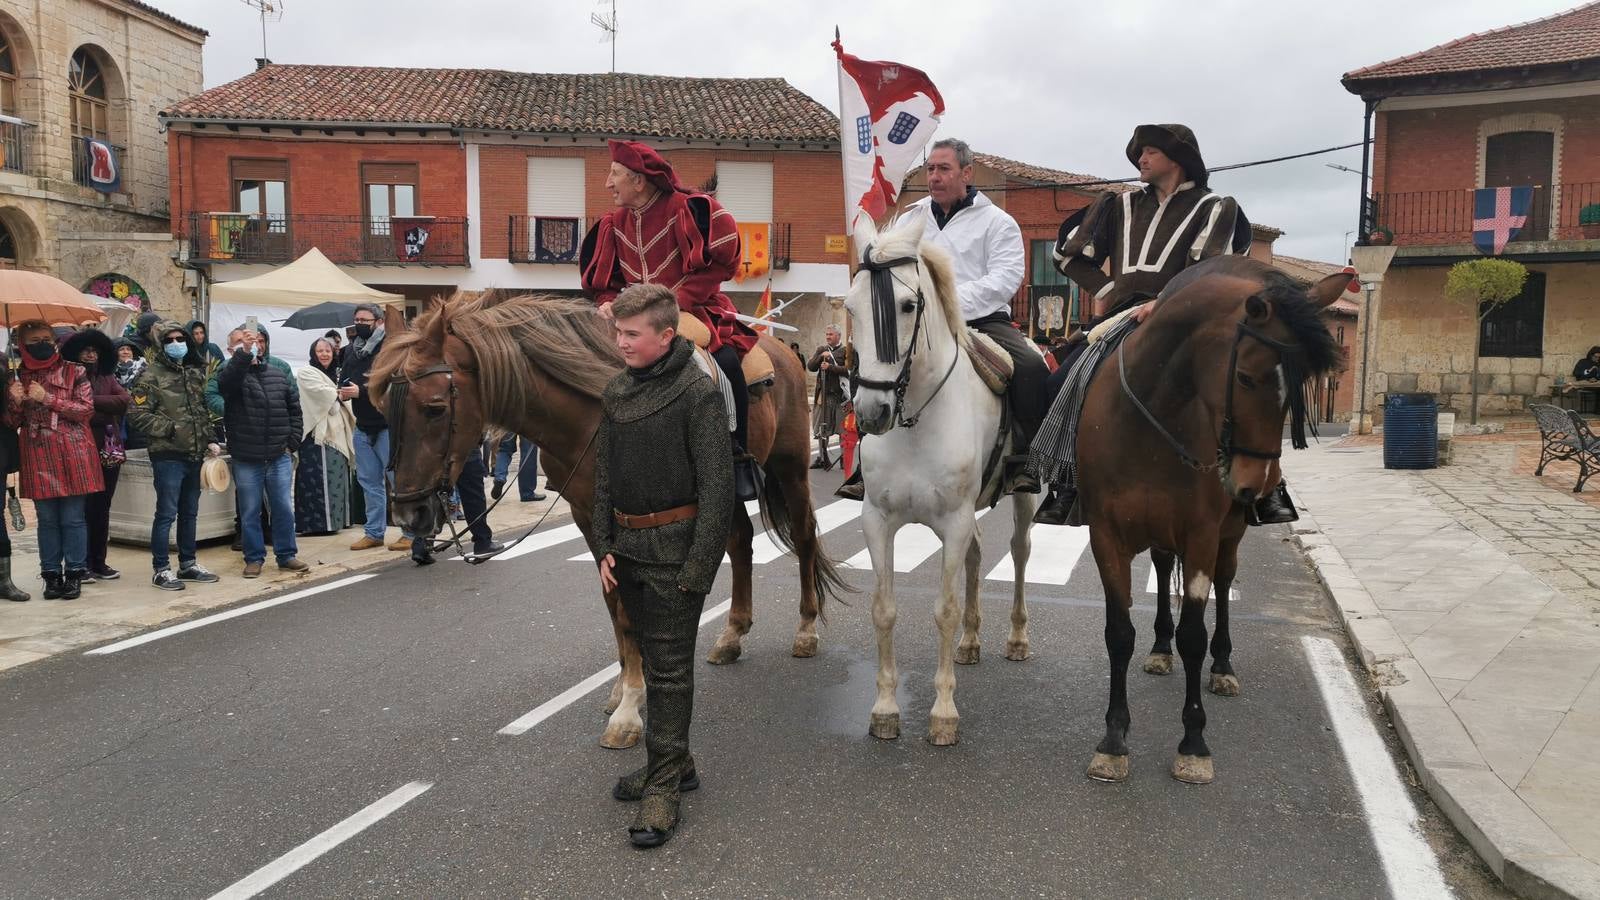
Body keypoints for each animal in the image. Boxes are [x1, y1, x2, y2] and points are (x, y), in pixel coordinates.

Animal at [369, 291, 851, 746]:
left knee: (804, 538)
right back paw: (732, 634)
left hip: (789, 466)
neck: (590, 413)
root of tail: (782, 350)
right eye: (384, 408)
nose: (409, 513)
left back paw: (806, 629)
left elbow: (633, 607)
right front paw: (624, 690)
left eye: (434, 408)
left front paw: (630, 709)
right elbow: (615, 605)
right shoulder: (588, 516)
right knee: (740, 542)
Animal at [851, 216, 1036, 743]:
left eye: (908, 305)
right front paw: (885, 709)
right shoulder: (878, 520)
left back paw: (1017, 636)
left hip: (1023, 500)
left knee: (1018, 551)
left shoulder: (952, 521)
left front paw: (943, 713)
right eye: (851, 307)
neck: (916, 418)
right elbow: (884, 609)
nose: (871, 414)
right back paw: (971, 642)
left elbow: (944, 610)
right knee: (977, 554)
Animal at [1075, 256, 1350, 781]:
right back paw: (1159, 650)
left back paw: (1222, 668)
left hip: (1229, 534)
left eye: (1301, 386)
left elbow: (1194, 635)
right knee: (1164, 570)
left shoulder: (1201, 536)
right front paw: (1113, 740)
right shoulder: (1107, 535)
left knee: (1224, 586)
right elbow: (1119, 634)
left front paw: (1193, 742)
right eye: (1245, 377)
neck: (1151, 417)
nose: (1255, 484)